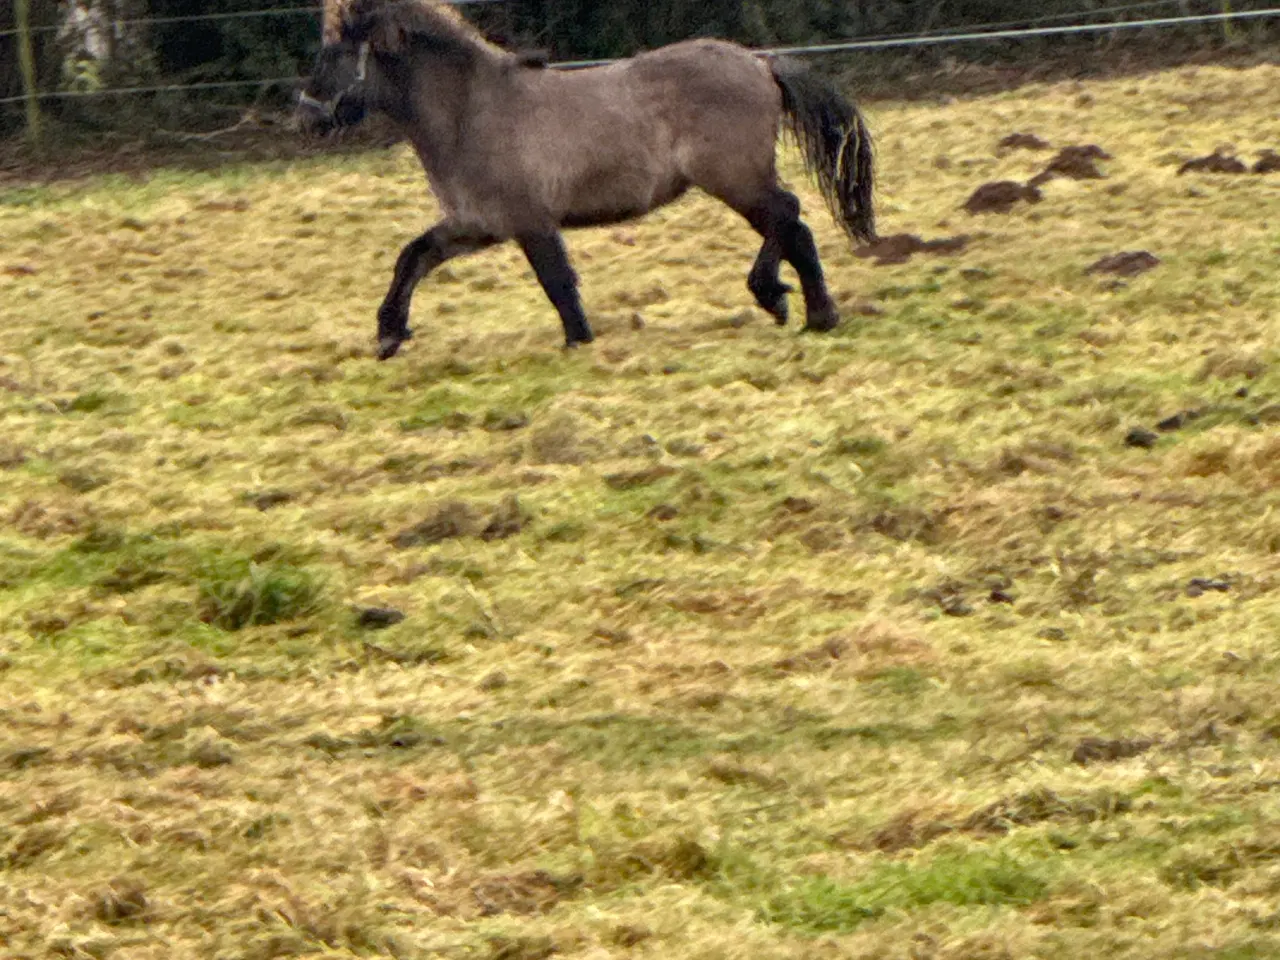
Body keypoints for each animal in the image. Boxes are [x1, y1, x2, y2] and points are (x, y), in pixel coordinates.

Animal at [299, 0, 880, 360]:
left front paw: (579, 341)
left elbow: (557, 282)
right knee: (789, 225)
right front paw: (389, 334)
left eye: (336, 53)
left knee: (789, 218)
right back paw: (795, 305)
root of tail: (760, 63)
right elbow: (413, 256)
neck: (470, 112)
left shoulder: (530, 221)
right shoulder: (478, 223)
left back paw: (799, 305)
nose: (305, 116)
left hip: (736, 178)